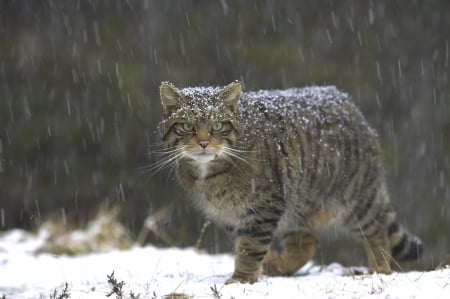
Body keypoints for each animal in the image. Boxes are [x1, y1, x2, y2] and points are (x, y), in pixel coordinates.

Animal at [157, 81, 422, 284]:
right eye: (187, 126)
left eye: (217, 125)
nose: (203, 142)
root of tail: (348, 102)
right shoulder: (229, 216)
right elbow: (246, 244)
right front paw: (264, 265)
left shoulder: (264, 204)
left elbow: (250, 247)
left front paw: (241, 279)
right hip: (298, 204)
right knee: (305, 243)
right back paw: (279, 265)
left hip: (355, 198)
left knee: (378, 233)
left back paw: (378, 269)